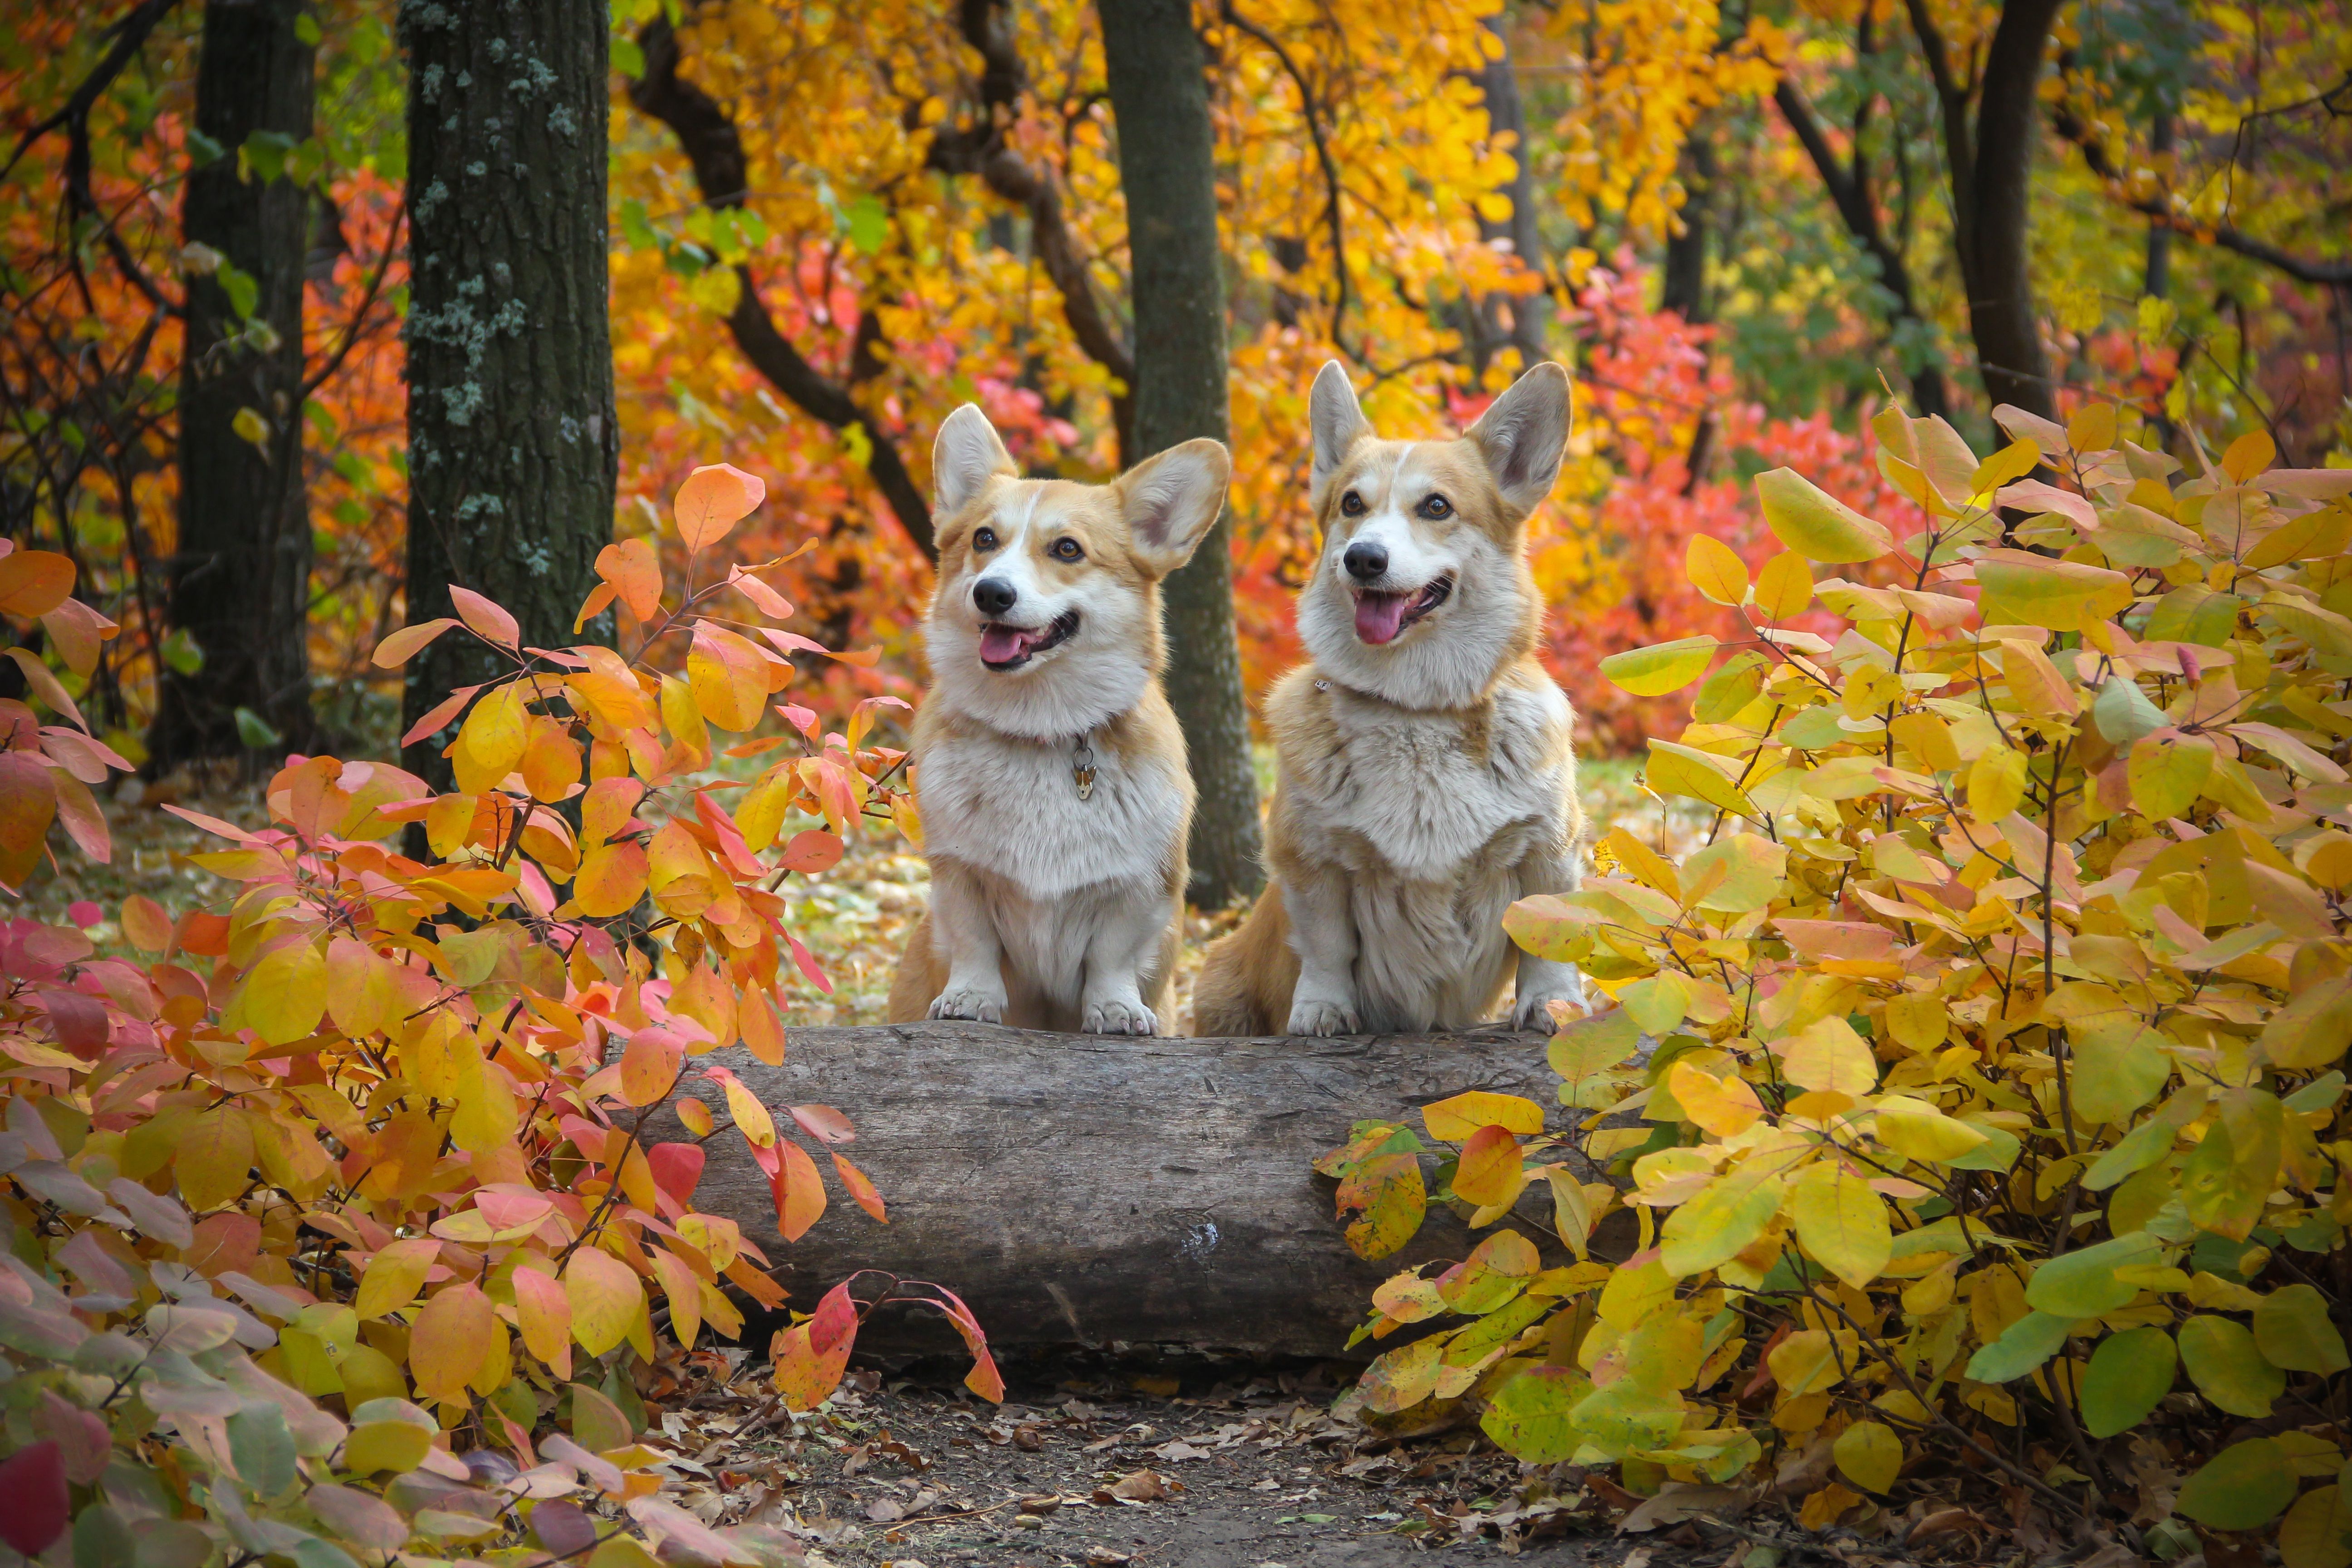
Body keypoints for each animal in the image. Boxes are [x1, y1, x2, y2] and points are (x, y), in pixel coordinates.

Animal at [884, 411, 1232, 1034]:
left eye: (1068, 549)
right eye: (984, 539)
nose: (991, 593)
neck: (1039, 729)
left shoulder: (1138, 888)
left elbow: (1112, 957)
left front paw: (1115, 1010)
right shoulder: (960, 875)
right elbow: (974, 943)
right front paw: (969, 1000)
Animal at [1195, 362, 1599, 1034]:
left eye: (1437, 507)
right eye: (1352, 504)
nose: (1364, 558)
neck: (1416, 709)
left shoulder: (1549, 845)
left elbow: (1548, 936)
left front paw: (1553, 1005)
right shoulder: (1312, 860)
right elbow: (1328, 946)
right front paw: (1322, 1012)